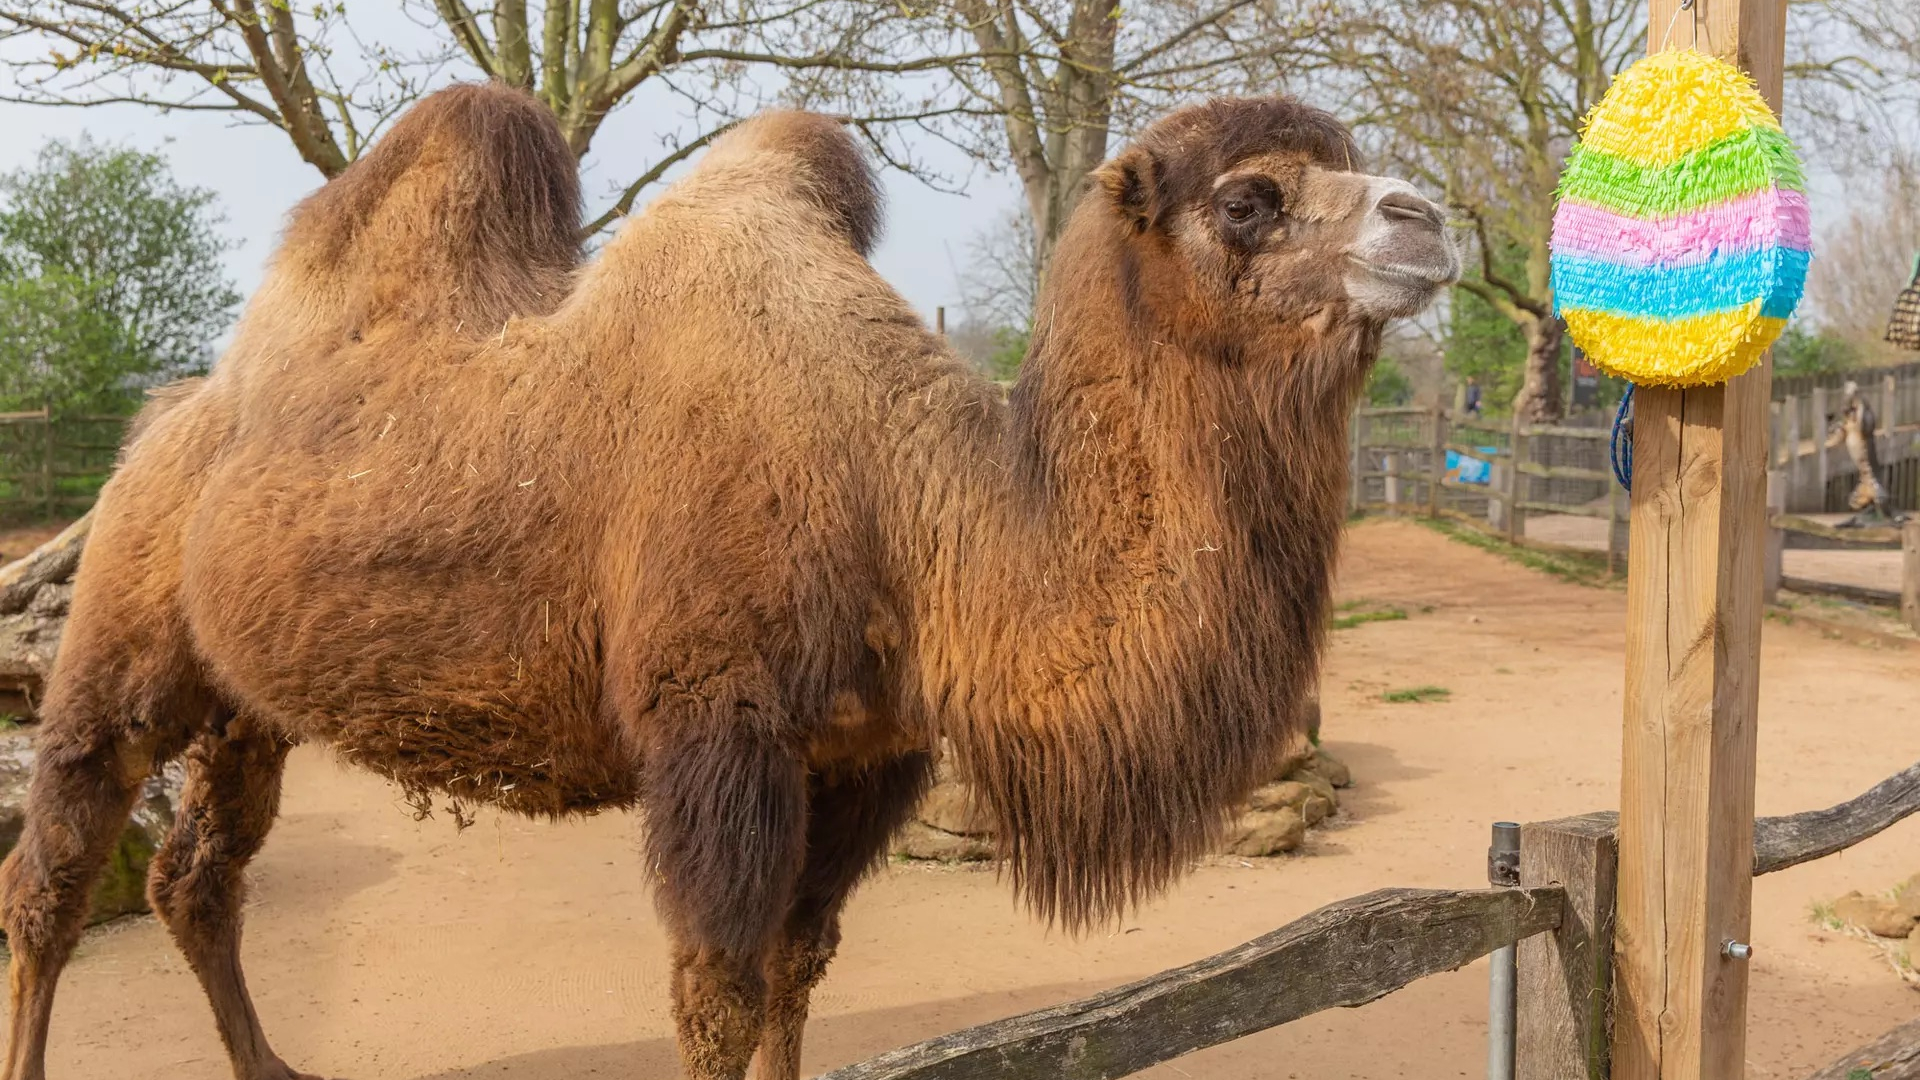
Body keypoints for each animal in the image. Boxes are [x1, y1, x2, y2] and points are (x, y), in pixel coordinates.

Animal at [0, 82, 1457, 1080]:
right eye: (1248, 198)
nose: (1426, 218)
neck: (910, 507)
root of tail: (165, 420)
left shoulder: (863, 756)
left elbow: (797, 969)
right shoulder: (721, 730)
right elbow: (717, 996)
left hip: (249, 703)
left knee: (197, 878)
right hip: (121, 629)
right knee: (56, 872)